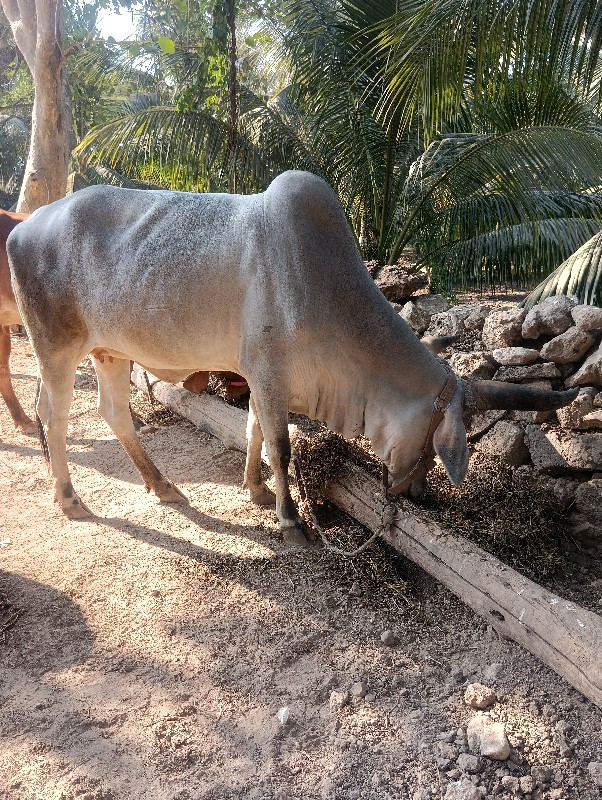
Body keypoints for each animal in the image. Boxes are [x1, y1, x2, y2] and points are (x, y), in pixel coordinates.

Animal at [8, 173, 572, 540]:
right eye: (434, 446)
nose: (419, 496)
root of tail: (24, 225)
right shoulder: (269, 372)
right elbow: (279, 445)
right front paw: (289, 520)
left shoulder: (259, 376)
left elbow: (255, 429)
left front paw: (255, 491)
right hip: (55, 347)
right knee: (53, 416)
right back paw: (70, 498)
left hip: (109, 351)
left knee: (114, 412)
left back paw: (161, 484)